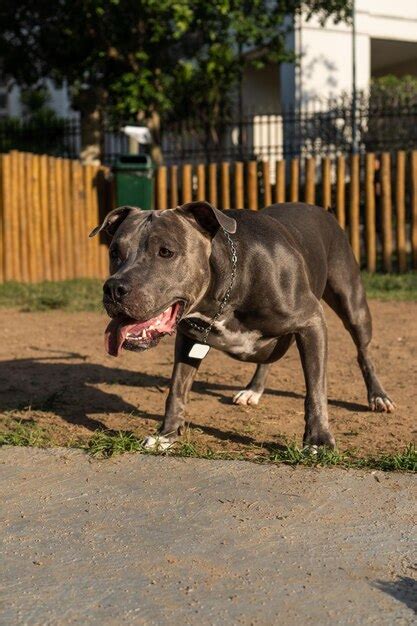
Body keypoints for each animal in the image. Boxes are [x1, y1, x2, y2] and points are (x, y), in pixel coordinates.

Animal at [91, 200, 394, 448]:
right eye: (115, 252)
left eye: (166, 252)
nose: (114, 288)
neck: (226, 291)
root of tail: (323, 210)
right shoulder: (189, 339)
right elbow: (177, 388)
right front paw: (167, 434)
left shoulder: (312, 322)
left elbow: (316, 389)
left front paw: (318, 439)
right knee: (268, 358)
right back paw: (253, 389)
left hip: (353, 304)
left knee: (363, 352)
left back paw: (378, 395)